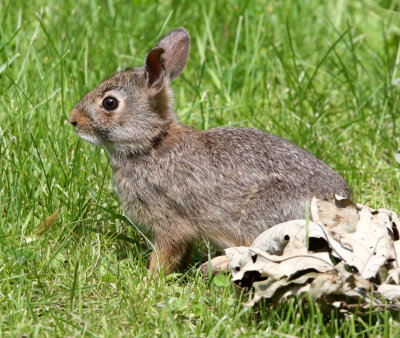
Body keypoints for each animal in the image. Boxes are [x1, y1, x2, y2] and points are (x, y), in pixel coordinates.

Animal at [70, 27, 352, 274]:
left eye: (109, 103)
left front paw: (150, 280)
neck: (152, 142)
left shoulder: (169, 218)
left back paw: (213, 266)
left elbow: (167, 251)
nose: (73, 120)